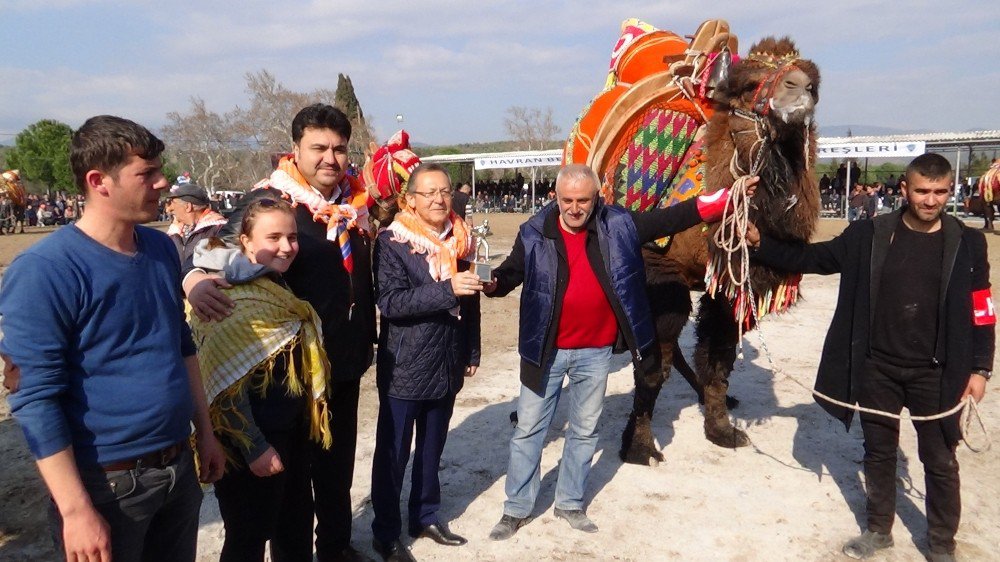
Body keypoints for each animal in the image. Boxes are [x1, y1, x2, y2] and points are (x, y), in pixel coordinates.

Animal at [564, 19, 820, 462]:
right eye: (748, 85)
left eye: (814, 83)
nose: (799, 86)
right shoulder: (656, 267)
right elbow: (653, 368)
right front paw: (639, 446)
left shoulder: (728, 286)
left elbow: (717, 360)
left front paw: (721, 429)